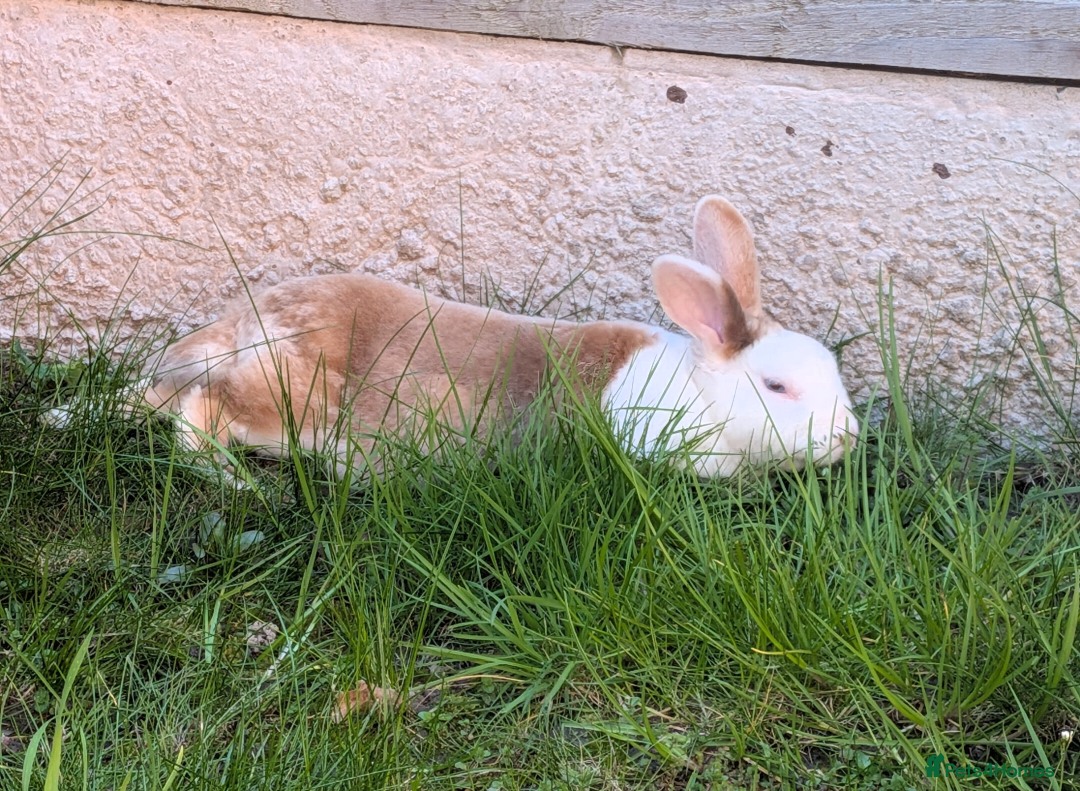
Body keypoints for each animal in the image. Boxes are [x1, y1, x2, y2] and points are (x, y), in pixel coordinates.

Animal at [140, 195, 858, 478]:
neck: (699, 395)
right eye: (776, 386)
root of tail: (240, 322)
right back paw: (237, 481)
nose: (848, 438)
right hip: (289, 399)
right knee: (199, 411)